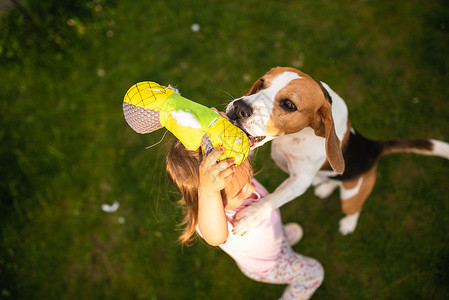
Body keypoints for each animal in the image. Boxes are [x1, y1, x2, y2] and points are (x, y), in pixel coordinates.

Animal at [226, 67, 448, 236]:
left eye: (289, 104)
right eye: (261, 83)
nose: (239, 107)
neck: (295, 137)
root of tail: (372, 147)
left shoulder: (300, 181)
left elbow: (274, 199)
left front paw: (250, 217)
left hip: (351, 198)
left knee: (354, 208)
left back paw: (348, 223)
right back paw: (325, 187)